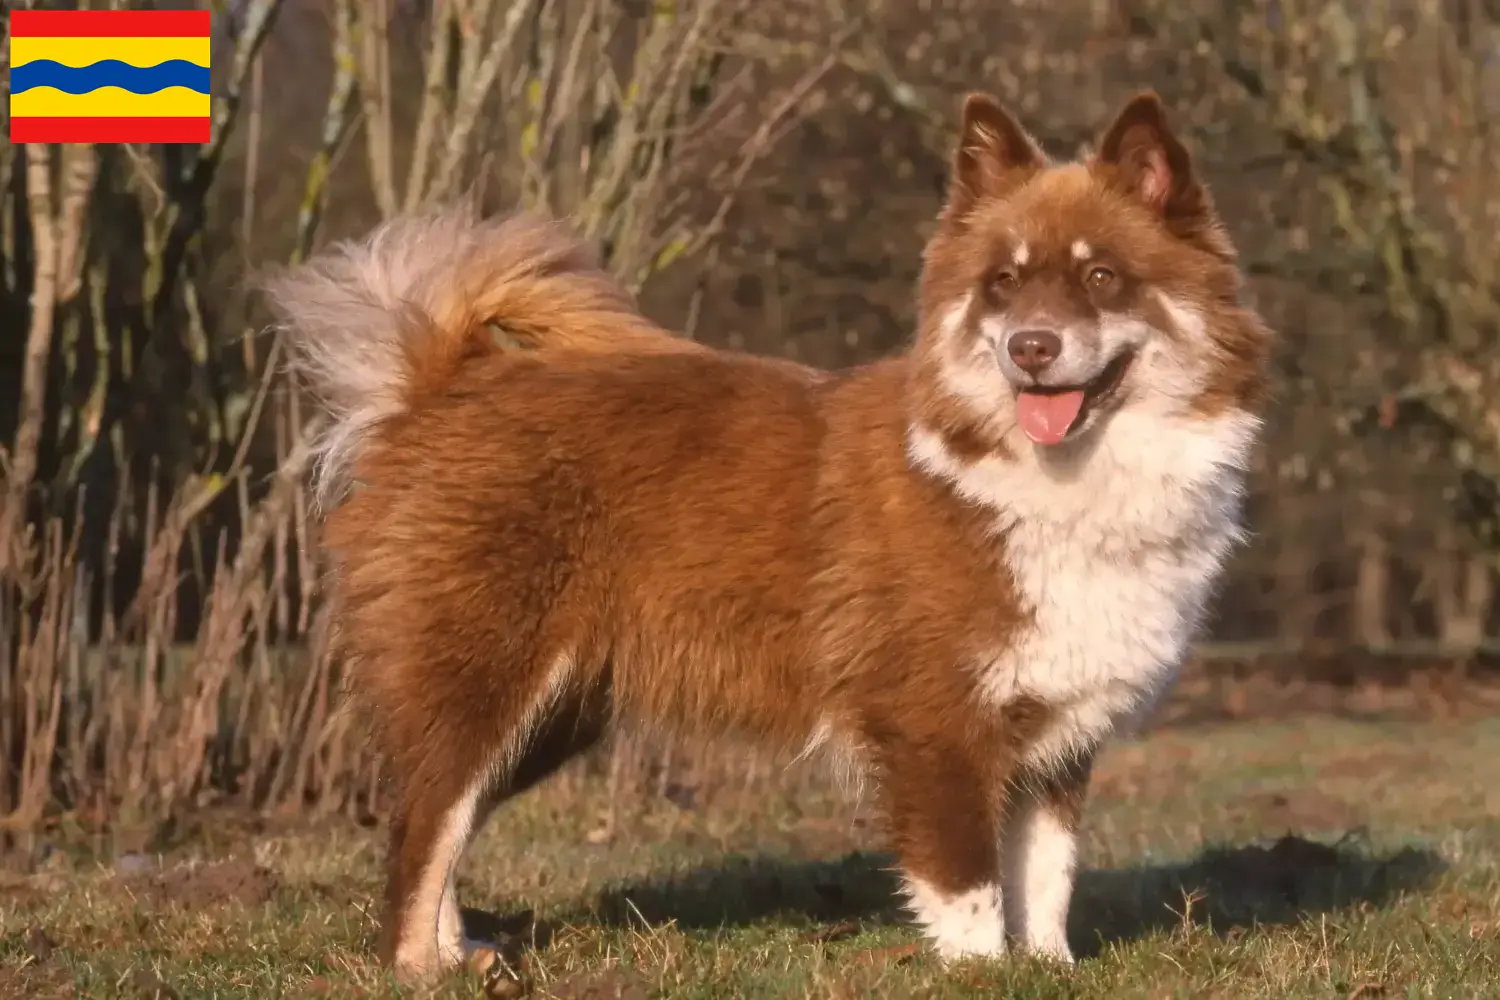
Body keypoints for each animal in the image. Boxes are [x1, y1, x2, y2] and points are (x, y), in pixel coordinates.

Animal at [267, 88, 1266, 977]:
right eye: (1005, 284)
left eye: (1101, 277)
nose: (1031, 347)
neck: (1041, 482)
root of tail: (443, 383)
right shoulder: (933, 726)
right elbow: (972, 889)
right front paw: (984, 974)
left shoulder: (1056, 736)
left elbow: (1045, 880)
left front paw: (1050, 968)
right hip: (483, 678)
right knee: (421, 828)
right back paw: (417, 967)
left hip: (549, 713)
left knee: (447, 821)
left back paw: (459, 954)